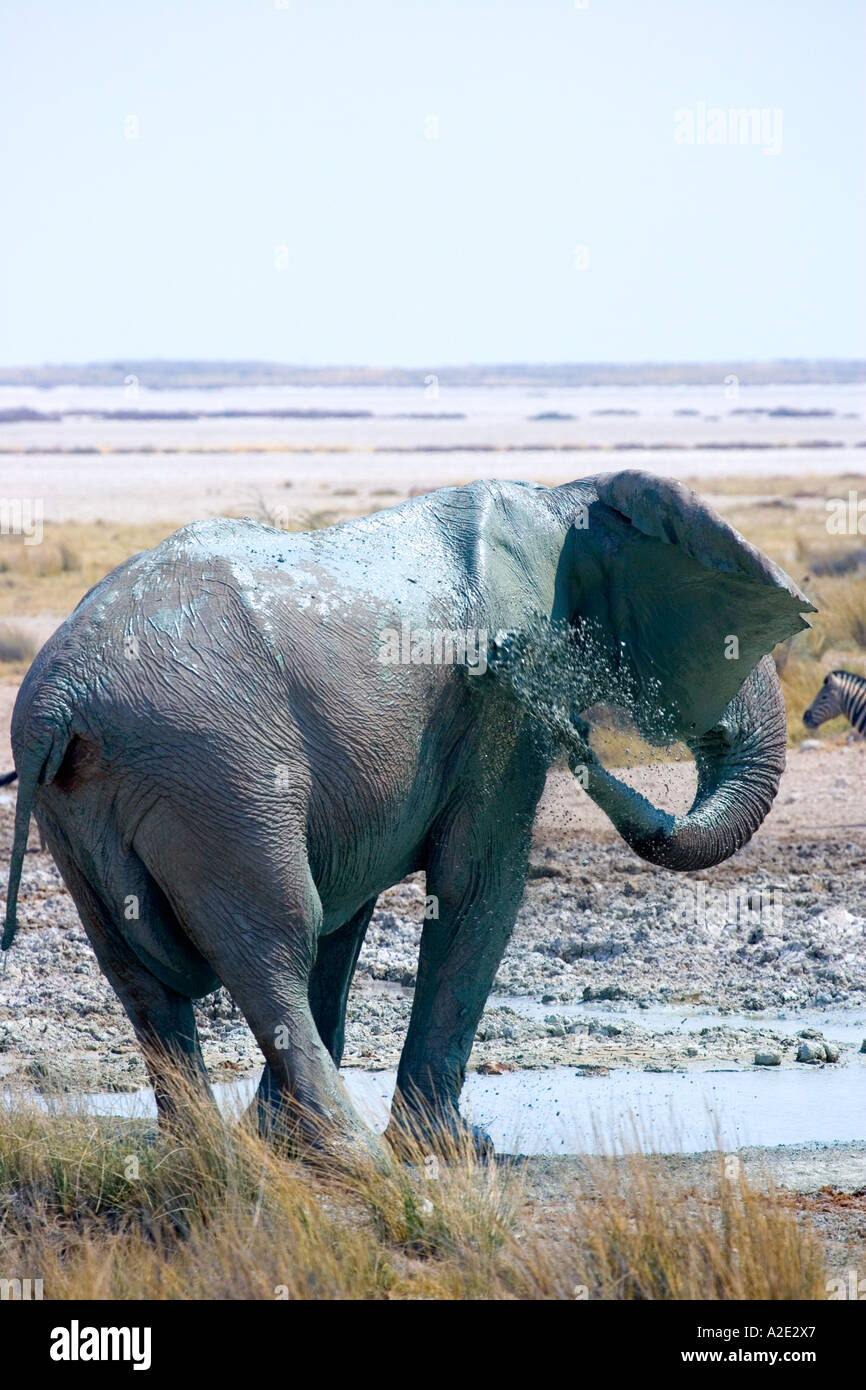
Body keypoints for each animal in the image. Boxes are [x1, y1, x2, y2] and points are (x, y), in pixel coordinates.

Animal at [0, 469, 811, 1162]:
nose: (574, 735)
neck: (566, 499)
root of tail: (61, 697)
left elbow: (350, 920)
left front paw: (283, 1145)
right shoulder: (501, 715)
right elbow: (477, 885)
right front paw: (453, 1152)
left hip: (89, 806)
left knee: (143, 978)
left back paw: (211, 1158)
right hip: (217, 772)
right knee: (275, 943)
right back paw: (356, 1158)